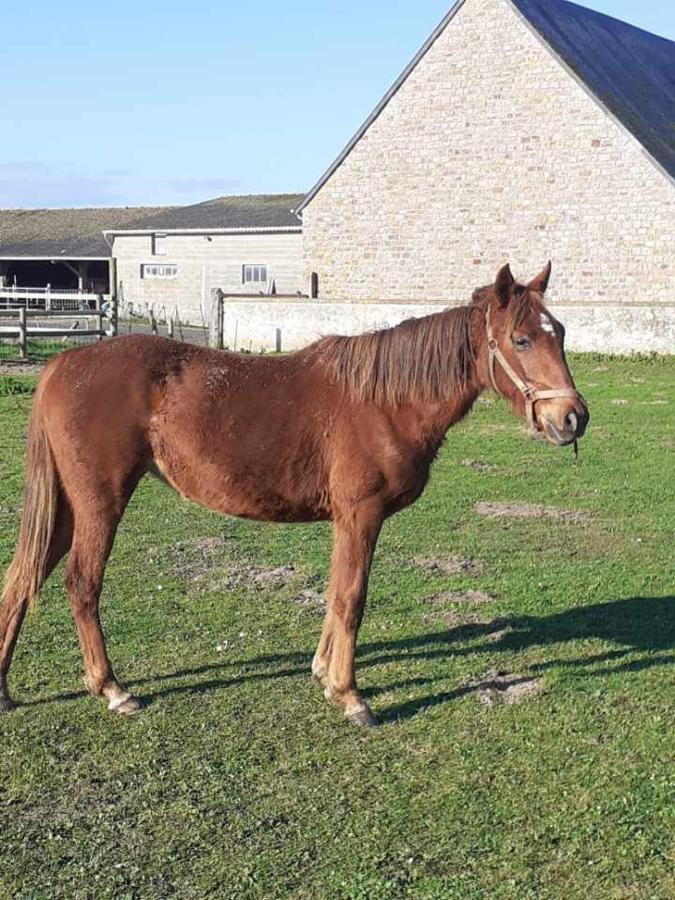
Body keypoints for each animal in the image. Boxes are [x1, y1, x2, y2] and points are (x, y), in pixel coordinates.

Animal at [0, 266, 588, 724]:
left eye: (558, 332)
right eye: (521, 340)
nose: (573, 418)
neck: (384, 401)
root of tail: (61, 366)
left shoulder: (346, 520)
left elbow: (334, 593)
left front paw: (324, 674)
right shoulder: (361, 515)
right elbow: (351, 598)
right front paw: (350, 696)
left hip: (67, 510)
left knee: (22, 578)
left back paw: (6, 689)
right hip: (99, 504)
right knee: (81, 584)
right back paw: (112, 689)